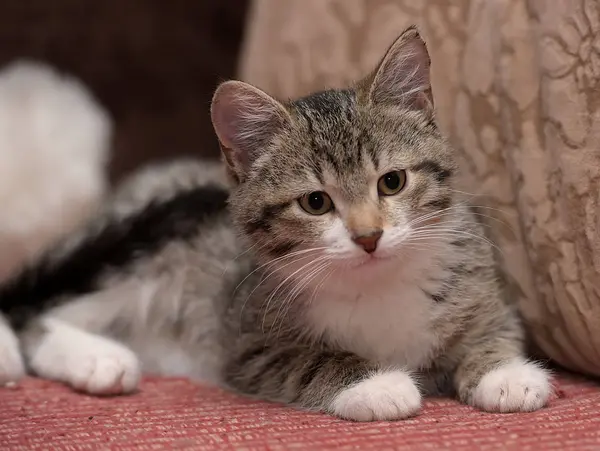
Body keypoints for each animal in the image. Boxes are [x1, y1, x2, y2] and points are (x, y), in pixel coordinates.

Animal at [0, 26, 552, 422]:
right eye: (316, 202)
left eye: (392, 182)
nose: (369, 236)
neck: (378, 282)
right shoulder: (249, 344)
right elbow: (308, 360)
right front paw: (375, 383)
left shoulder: (480, 286)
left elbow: (493, 329)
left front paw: (504, 372)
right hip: (139, 248)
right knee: (31, 311)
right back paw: (60, 356)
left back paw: (102, 362)